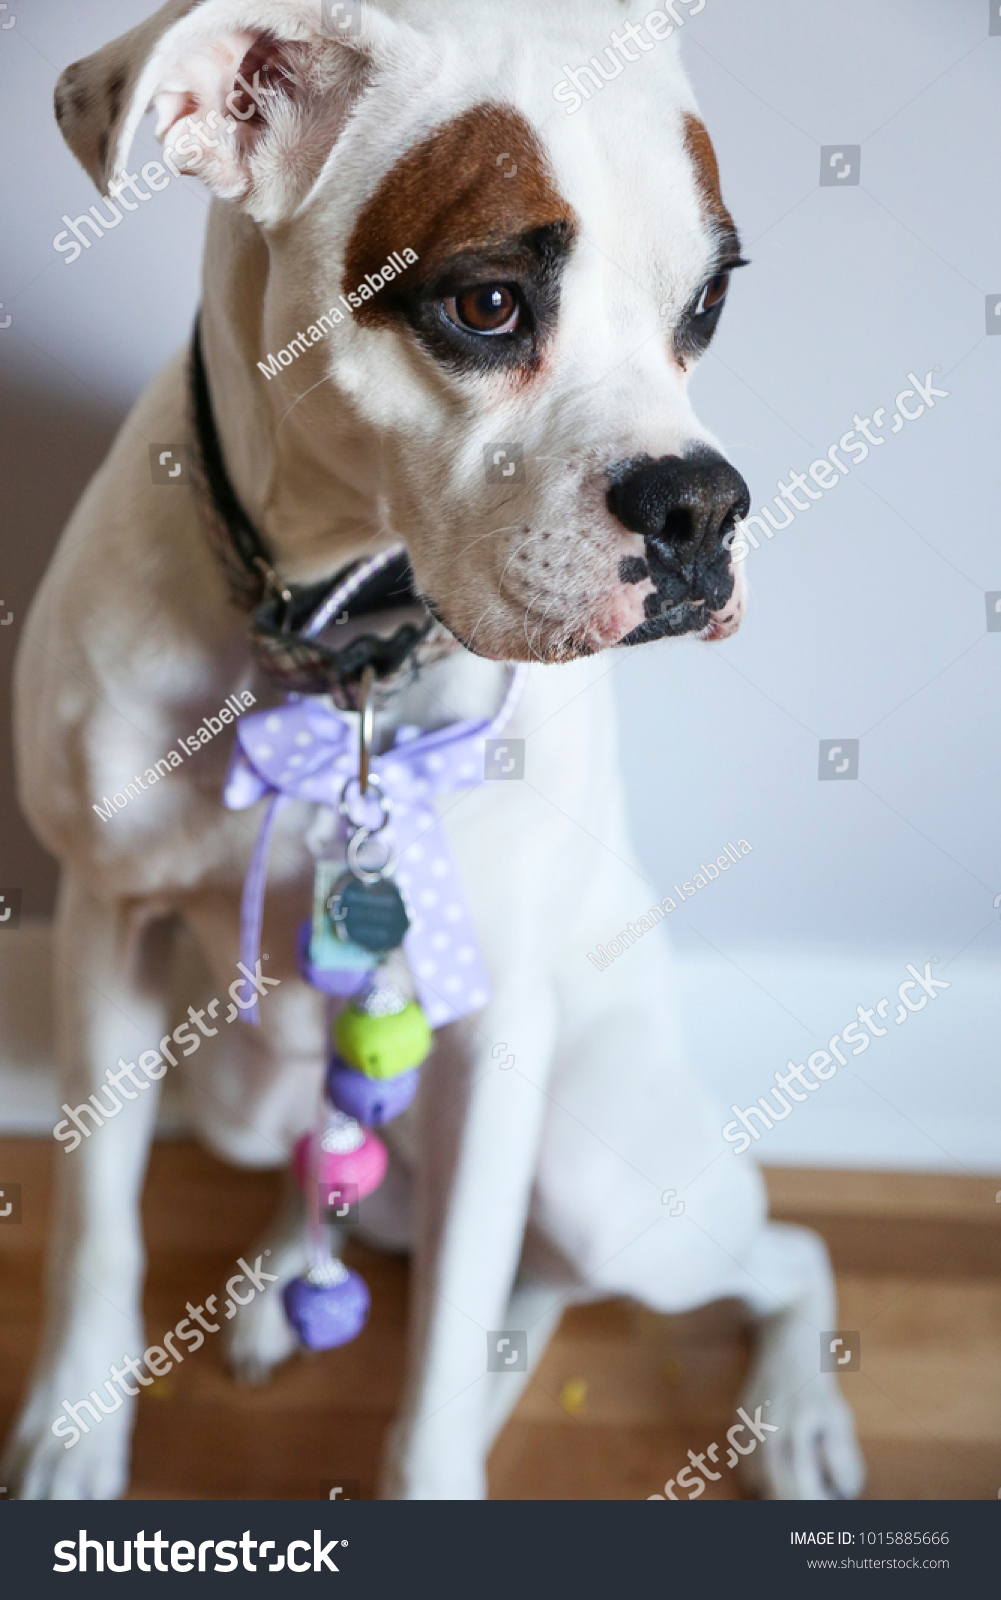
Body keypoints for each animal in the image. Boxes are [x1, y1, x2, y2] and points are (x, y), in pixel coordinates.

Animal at [1, 0, 857, 1497]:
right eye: (486, 304)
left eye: (705, 304)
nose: (701, 505)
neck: (337, 641)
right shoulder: (107, 925)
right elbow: (99, 1224)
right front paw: (72, 1428)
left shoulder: (494, 1032)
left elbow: (447, 1345)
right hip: (236, 1084)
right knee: (370, 1184)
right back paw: (288, 1275)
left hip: (602, 1177)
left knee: (753, 1252)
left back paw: (794, 1406)